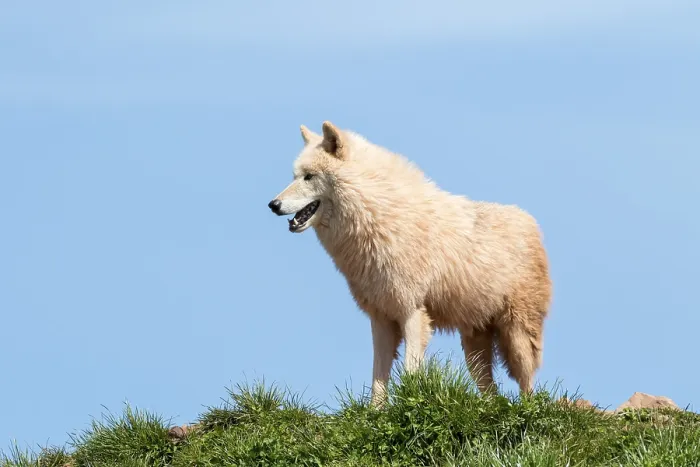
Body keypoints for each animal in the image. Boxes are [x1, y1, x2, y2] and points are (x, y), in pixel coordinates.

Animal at [268, 121, 552, 406]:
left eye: (309, 177)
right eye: (294, 176)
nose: (273, 204)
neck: (378, 217)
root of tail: (531, 223)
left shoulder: (412, 312)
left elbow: (410, 372)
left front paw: (410, 404)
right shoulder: (381, 319)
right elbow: (378, 379)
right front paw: (375, 413)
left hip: (517, 336)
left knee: (527, 383)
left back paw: (527, 411)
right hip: (474, 348)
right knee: (492, 391)